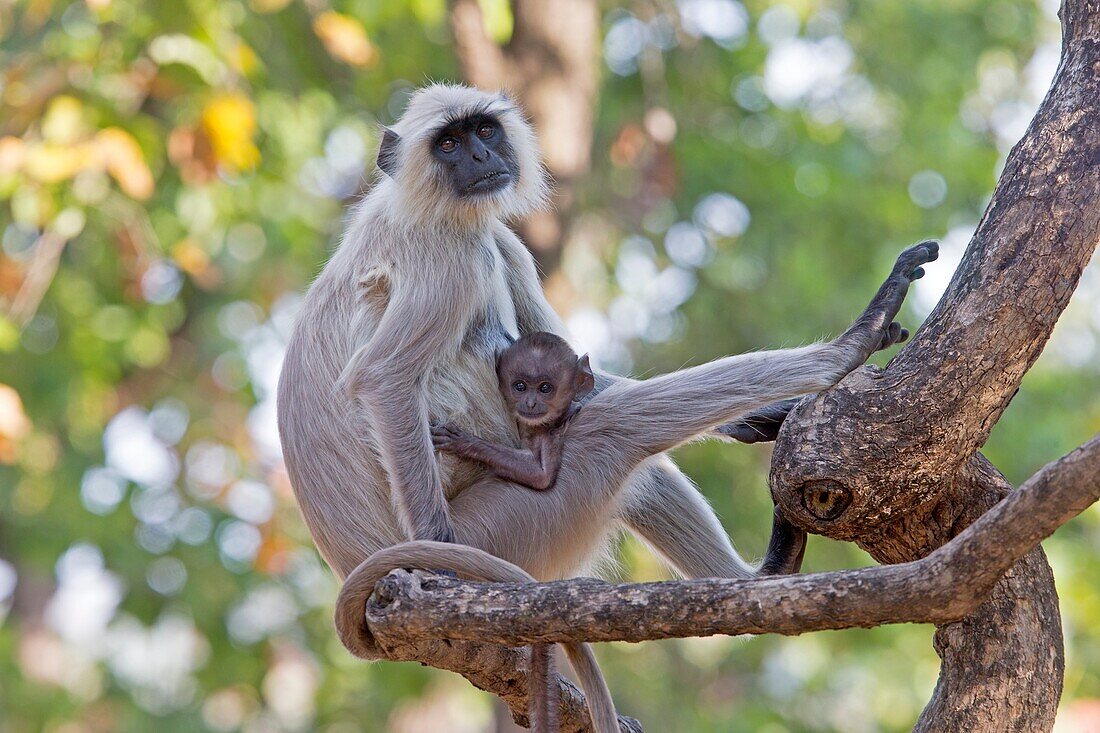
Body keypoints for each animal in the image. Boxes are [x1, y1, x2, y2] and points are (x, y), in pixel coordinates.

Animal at [277, 82, 937, 726]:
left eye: (483, 130)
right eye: (448, 144)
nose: (480, 157)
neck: (418, 203)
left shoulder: (498, 241)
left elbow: (576, 374)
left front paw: (760, 420)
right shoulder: (450, 254)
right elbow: (384, 380)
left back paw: (761, 578)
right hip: (506, 530)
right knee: (612, 430)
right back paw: (841, 352)